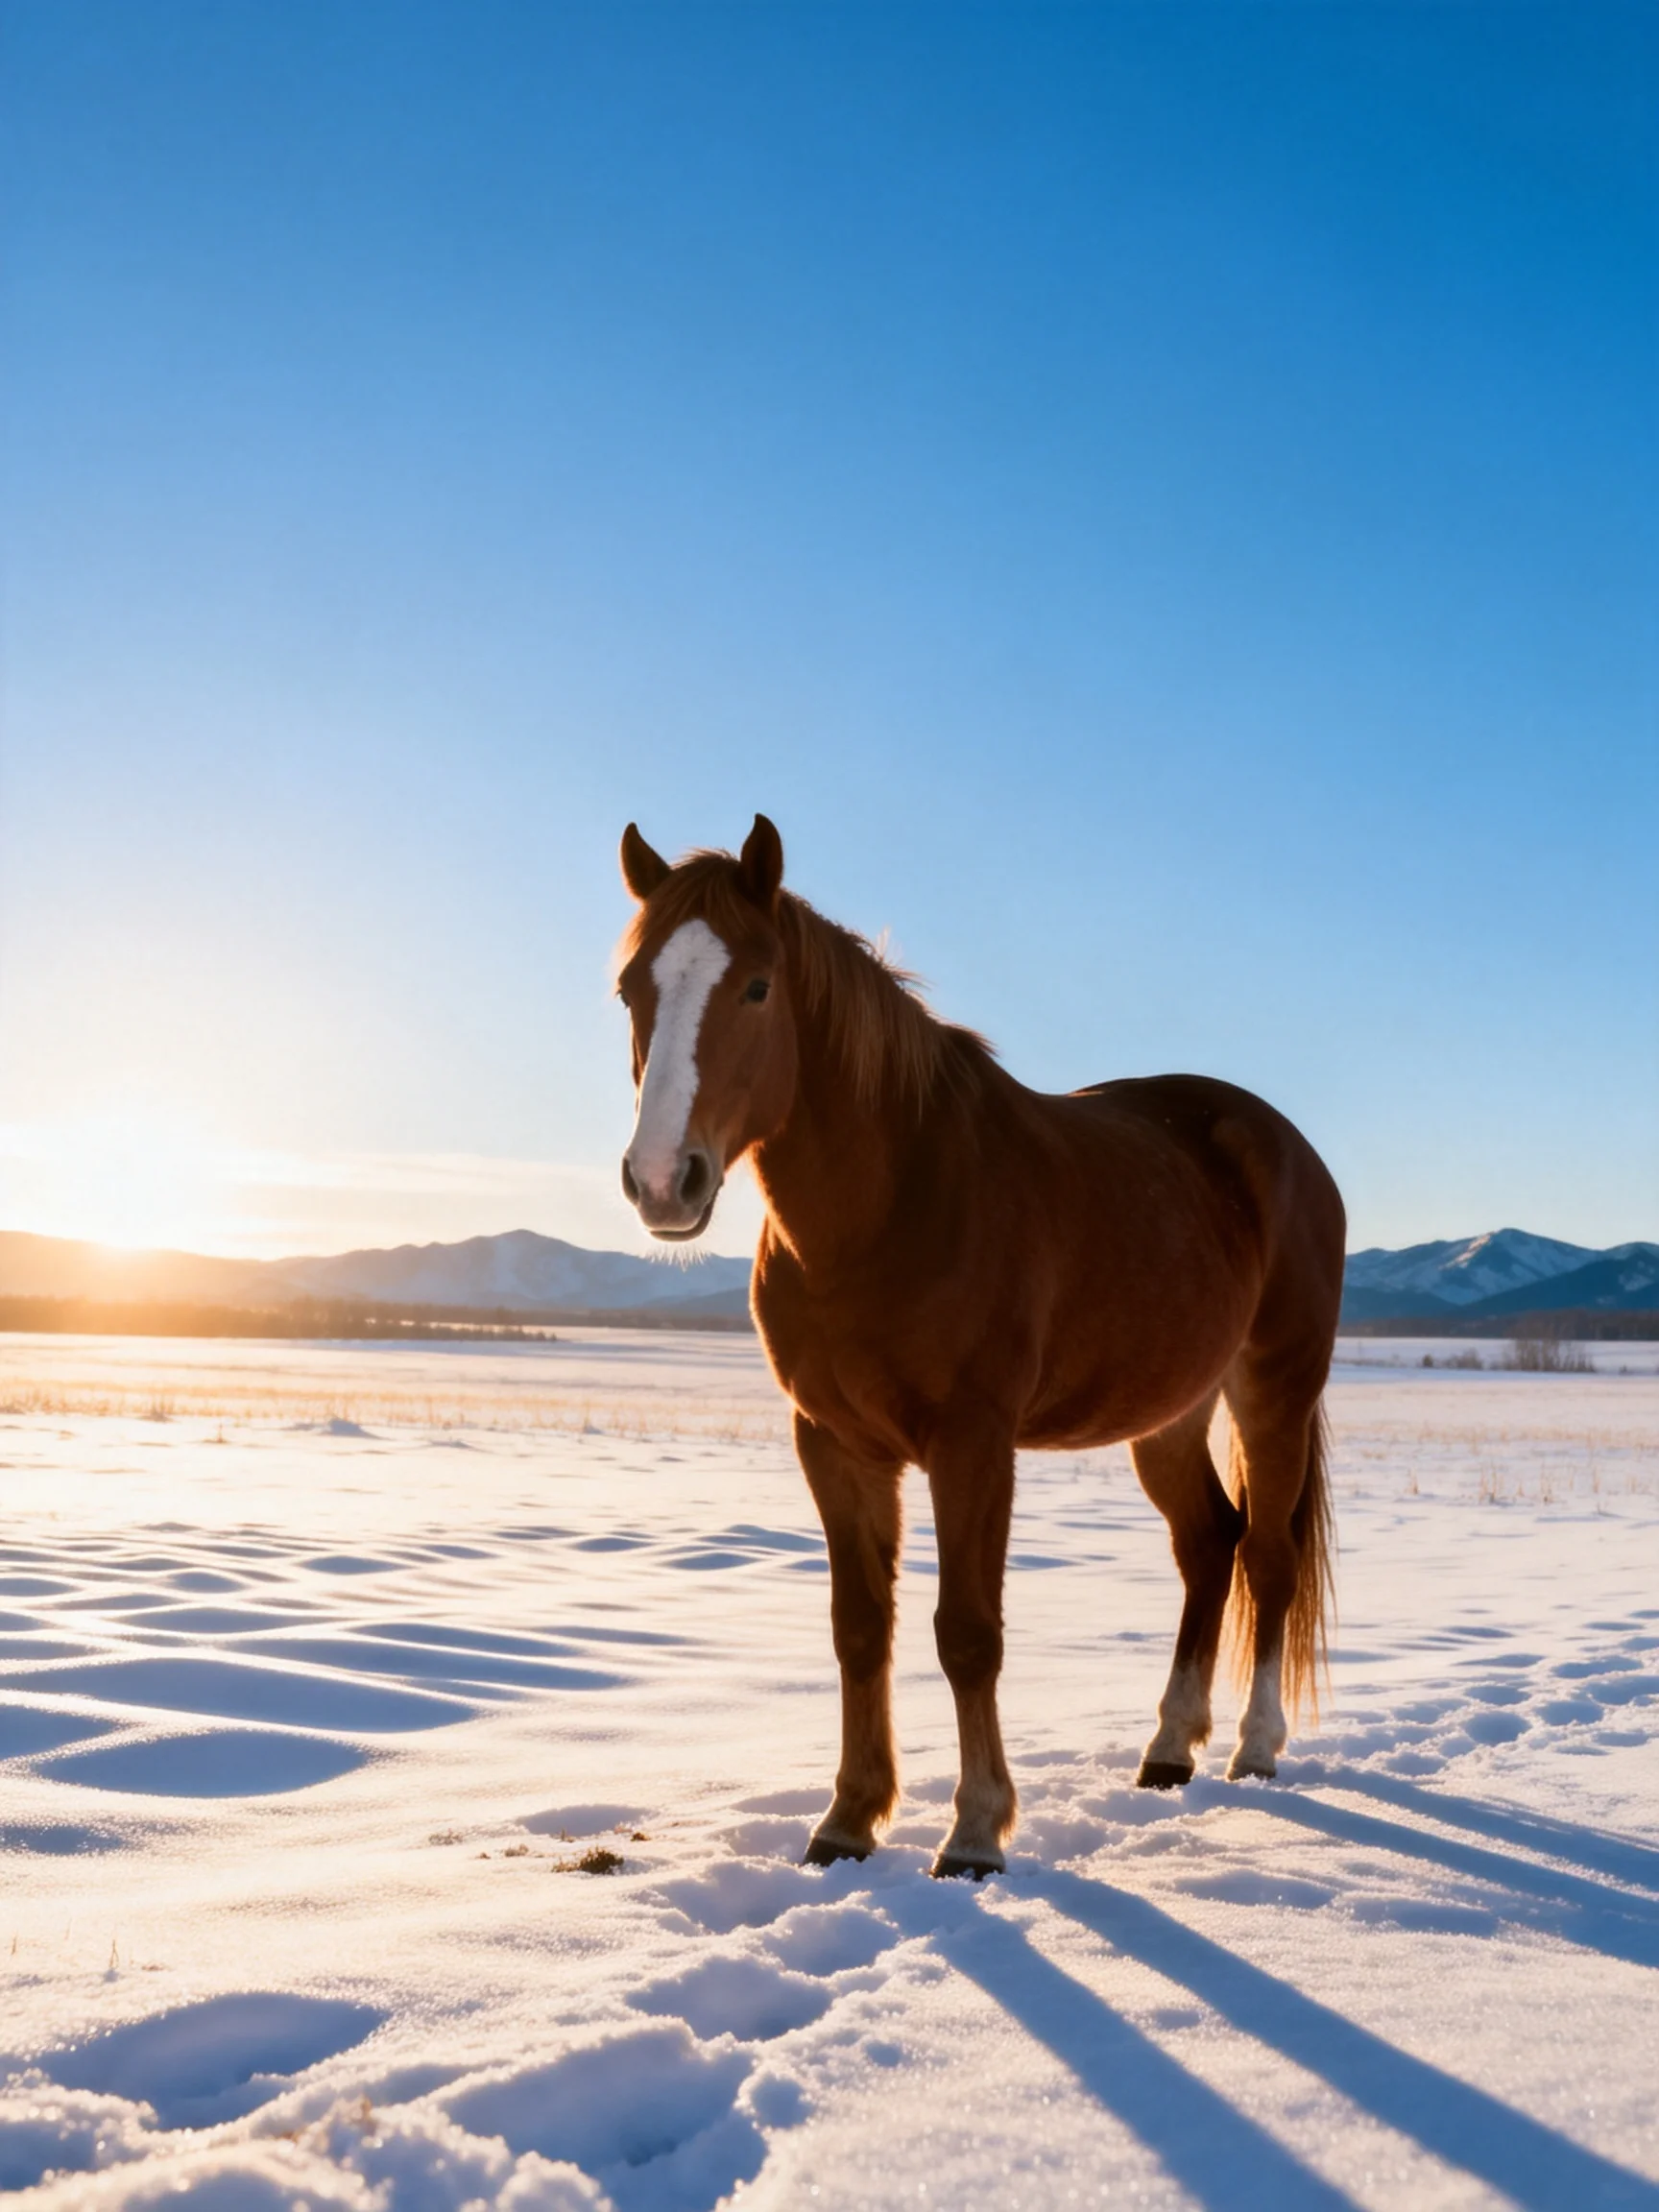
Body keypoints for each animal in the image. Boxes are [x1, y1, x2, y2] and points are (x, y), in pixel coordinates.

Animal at [613, 814, 1345, 1879]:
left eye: (756, 986)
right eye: (632, 989)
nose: (665, 1179)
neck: (886, 1208)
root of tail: (1287, 1147)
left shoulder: (972, 1443)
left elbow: (966, 1632)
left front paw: (974, 1834)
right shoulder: (832, 1443)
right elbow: (859, 1630)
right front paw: (847, 1821)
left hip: (1273, 1392)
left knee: (1270, 1558)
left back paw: (1254, 1748)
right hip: (1170, 1412)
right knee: (1210, 1545)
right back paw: (1168, 1750)